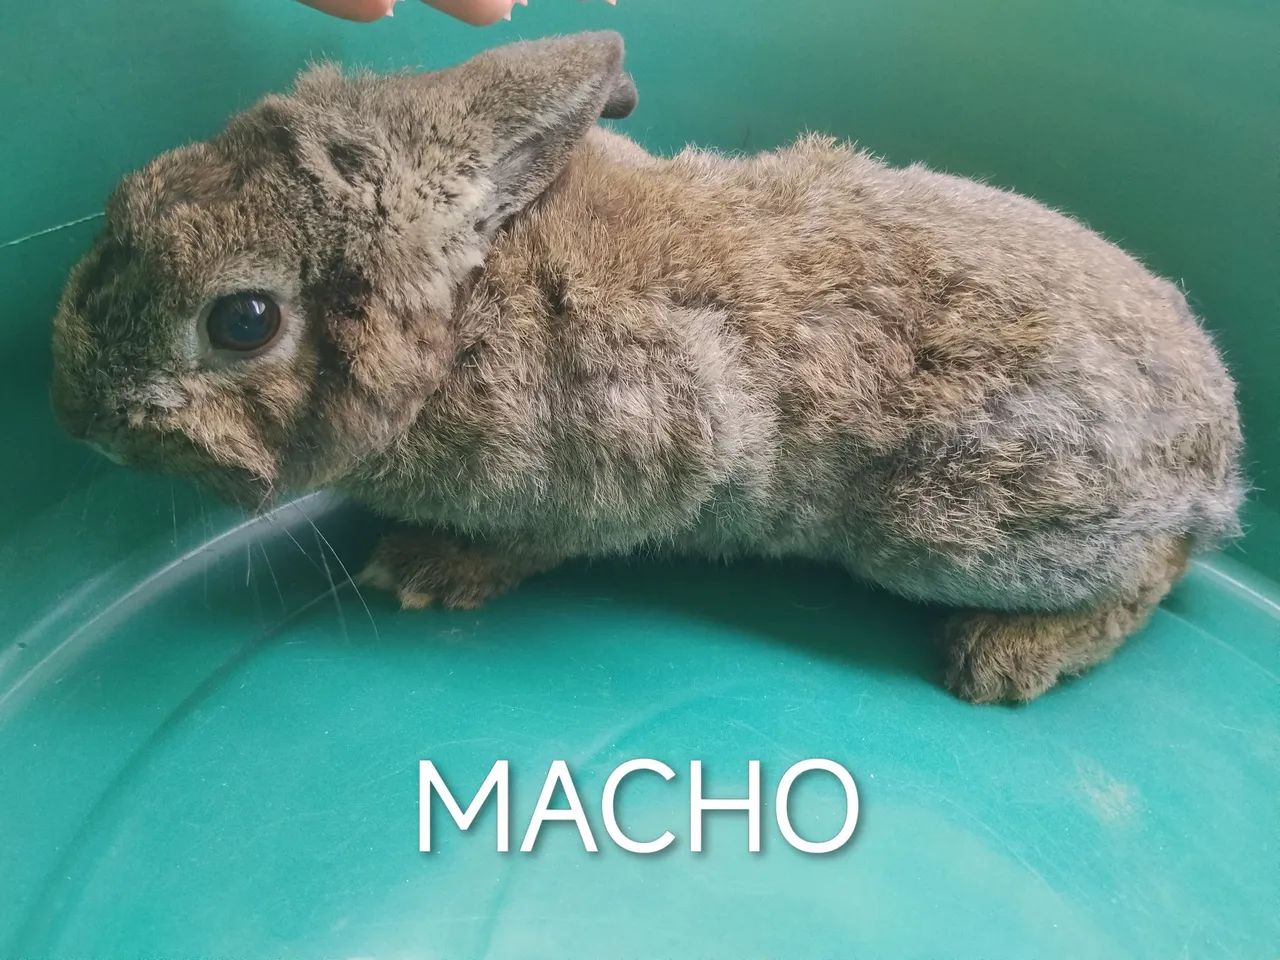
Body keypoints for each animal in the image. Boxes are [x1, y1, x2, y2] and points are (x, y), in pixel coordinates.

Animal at [50, 32, 1243, 702]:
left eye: (243, 320)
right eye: (133, 196)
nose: (72, 412)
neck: (460, 319)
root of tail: (1219, 451)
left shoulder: (634, 465)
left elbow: (543, 543)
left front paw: (427, 571)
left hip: (958, 525)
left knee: (1152, 572)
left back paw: (1002, 659)